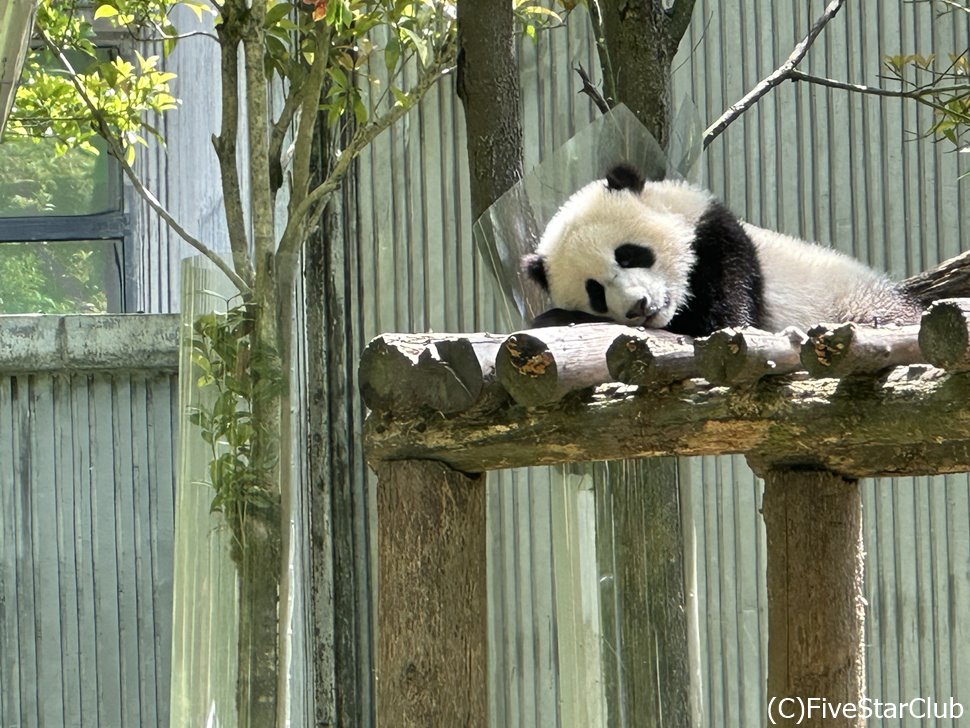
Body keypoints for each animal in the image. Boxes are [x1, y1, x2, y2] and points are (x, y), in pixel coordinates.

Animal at [520, 162, 916, 336]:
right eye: (596, 293)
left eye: (629, 255)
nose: (638, 306)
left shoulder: (720, 244)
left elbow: (722, 322)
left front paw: (553, 318)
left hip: (857, 300)